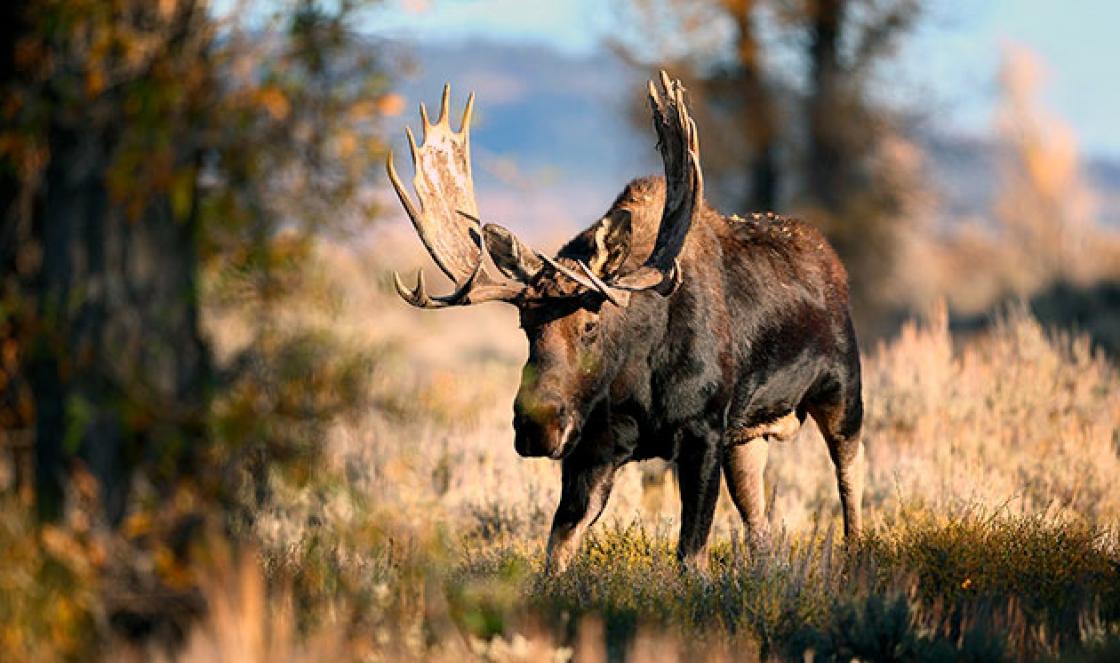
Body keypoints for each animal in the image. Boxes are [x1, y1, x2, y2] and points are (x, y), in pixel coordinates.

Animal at [387, 71, 864, 568]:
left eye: (591, 325)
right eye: (525, 326)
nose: (537, 423)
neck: (638, 380)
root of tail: (831, 258)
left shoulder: (703, 430)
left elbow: (691, 553)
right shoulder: (592, 448)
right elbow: (558, 547)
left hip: (842, 391)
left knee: (851, 477)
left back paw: (857, 552)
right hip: (749, 434)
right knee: (757, 517)